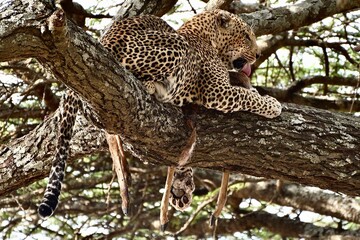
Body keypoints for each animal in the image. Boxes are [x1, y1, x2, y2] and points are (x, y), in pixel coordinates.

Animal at [39, 8, 282, 219]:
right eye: (246, 36)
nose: (258, 53)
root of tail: (105, 39)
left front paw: (181, 185)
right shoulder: (217, 92)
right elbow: (245, 97)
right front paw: (271, 104)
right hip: (174, 46)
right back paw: (150, 86)